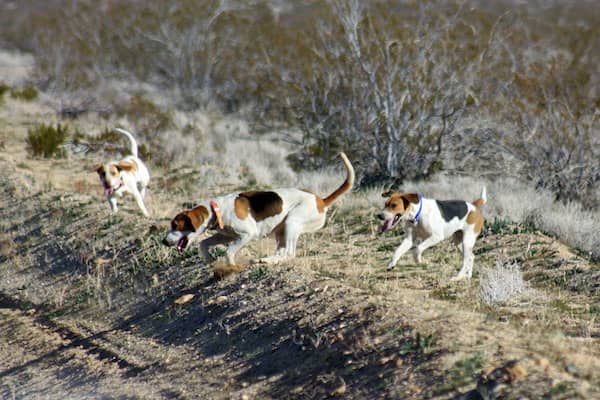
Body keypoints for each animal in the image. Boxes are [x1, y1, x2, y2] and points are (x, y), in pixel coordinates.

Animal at [162, 152, 354, 278]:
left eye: (175, 225)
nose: (163, 242)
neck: (216, 210)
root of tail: (321, 200)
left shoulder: (247, 234)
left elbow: (229, 252)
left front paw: (231, 266)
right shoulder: (228, 235)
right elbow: (204, 243)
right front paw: (210, 260)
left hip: (292, 222)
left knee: (289, 253)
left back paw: (267, 261)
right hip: (281, 230)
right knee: (283, 252)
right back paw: (267, 260)